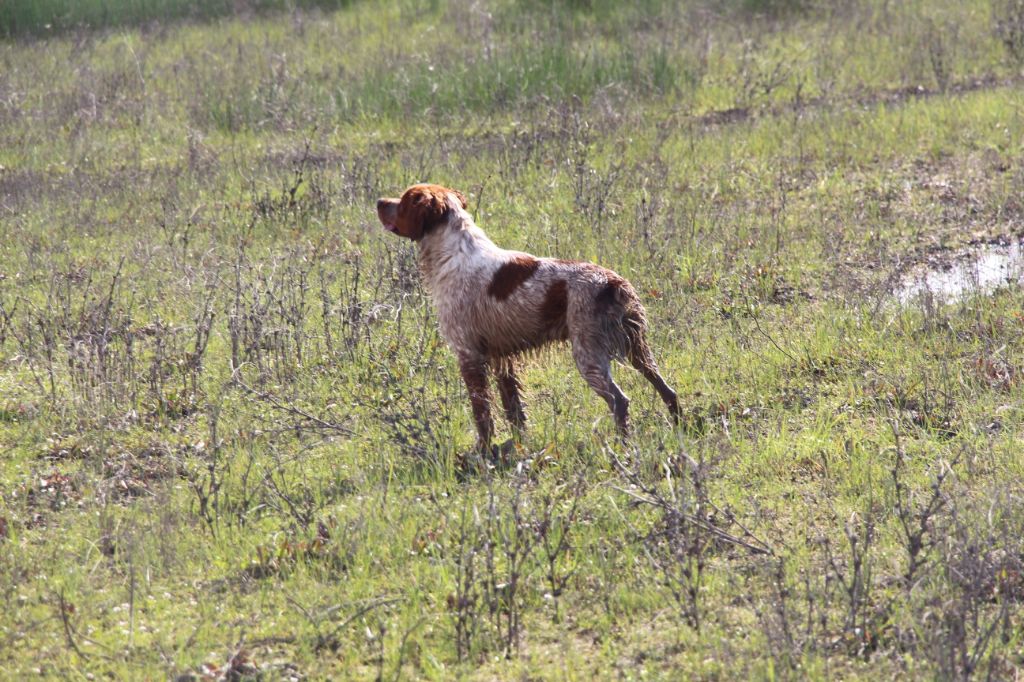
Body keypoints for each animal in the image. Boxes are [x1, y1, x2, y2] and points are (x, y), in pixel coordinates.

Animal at [377, 183, 679, 451]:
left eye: (404, 201)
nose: (379, 201)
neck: (453, 252)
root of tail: (611, 282)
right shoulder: (502, 358)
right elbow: (514, 411)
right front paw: (518, 446)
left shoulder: (469, 355)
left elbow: (482, 414)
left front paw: (484, 452)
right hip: (637, 348)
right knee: (667, 389)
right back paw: (681, 427)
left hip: (589, 355)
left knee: (620, 401)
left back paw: (624, 448)